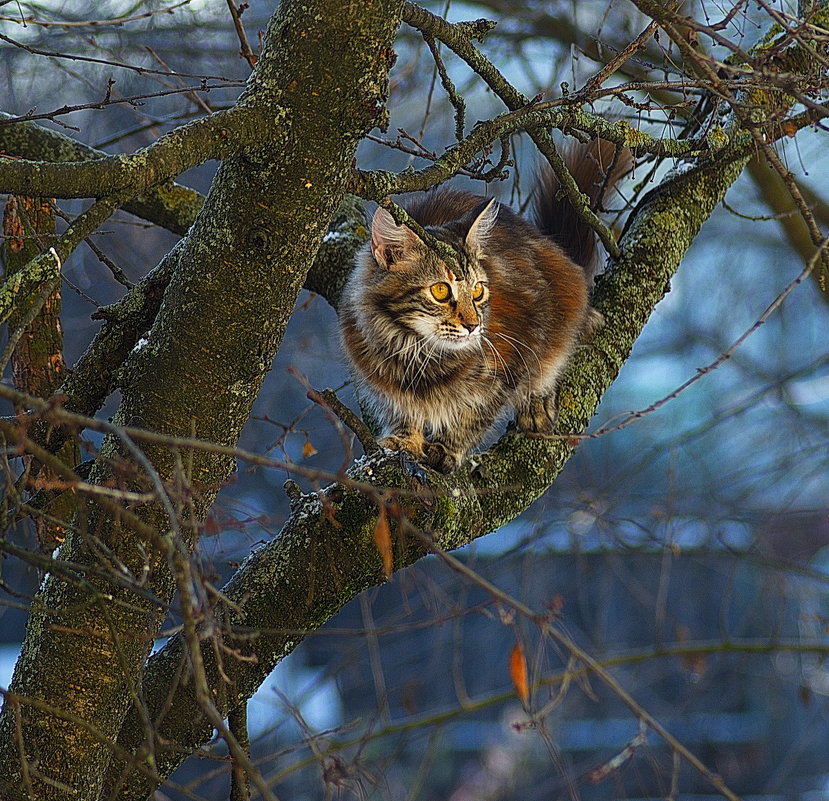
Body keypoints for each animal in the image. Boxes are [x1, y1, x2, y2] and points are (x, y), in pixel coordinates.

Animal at [336, 138, 628, 472]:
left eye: (477, 291)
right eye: (440, 290)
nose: (474, 325)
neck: (417, 352)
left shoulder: (514, 352)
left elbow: (475, 415)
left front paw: (447, 448)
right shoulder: (382, 383)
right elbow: (403, 411)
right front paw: (405, 440)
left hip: (565, 296)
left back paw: (536, 402)